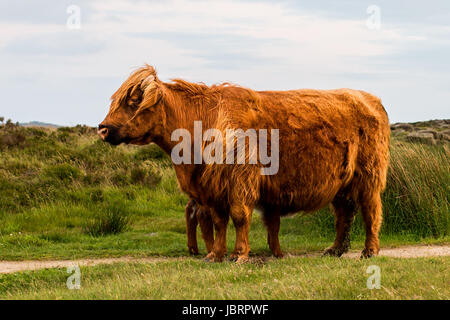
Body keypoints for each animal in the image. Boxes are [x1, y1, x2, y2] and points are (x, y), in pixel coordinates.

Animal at [98, 65, 390, 262]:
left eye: (133, 101)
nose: (102, 129)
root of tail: (370, 98)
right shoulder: (212, 187)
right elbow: (218, 220)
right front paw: (215, 254)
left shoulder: (241, 179)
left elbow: (239, 215)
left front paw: (239, 254)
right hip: (341, 182)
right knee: (344, 213)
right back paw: (335, 249)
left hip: (368, 176)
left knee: (370, 210)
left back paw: (369, 251)